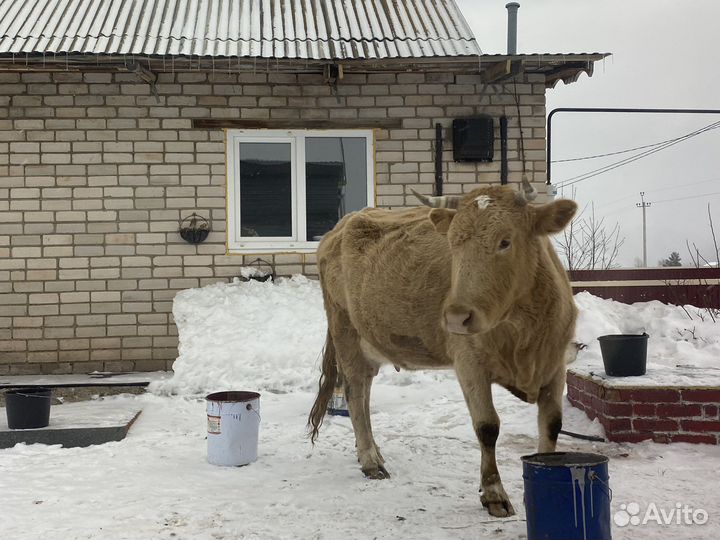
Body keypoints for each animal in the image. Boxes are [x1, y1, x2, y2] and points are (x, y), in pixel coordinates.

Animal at [308, 180, 578, 517]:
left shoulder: (557, 363)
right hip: (345, 331)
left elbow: (552, 425)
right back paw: (370, 460)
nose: (456, 316)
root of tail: (341, 226)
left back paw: (373, 453)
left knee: (364, 392)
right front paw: (494, 493)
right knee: (356, 392)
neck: (522, 333)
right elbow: (487, 426)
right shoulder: (469, 362)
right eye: (453, 244)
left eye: (505, 241)